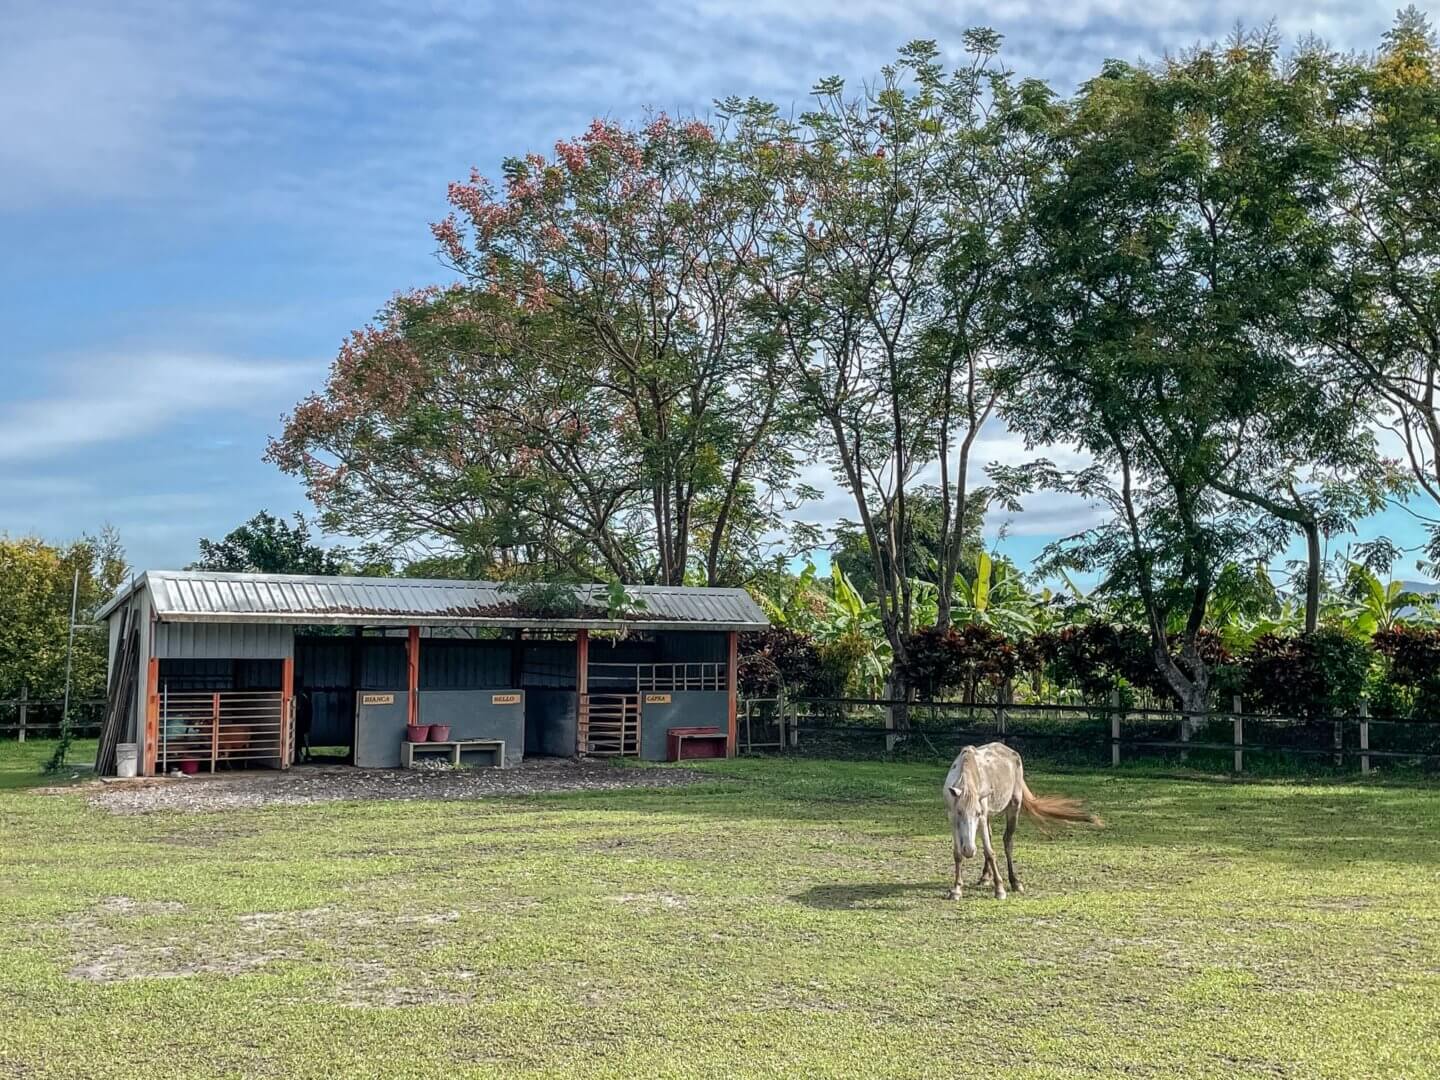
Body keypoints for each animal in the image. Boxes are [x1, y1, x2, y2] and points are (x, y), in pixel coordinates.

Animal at [944, 743, 1100, 898]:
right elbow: (957, 854)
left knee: (1008, 842)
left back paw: (1015, 882)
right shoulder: (953, 818)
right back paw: (985, 877)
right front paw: (956, 890)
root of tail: (1010, 750)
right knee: (990, 837)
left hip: (1014, 806)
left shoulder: (982, 817)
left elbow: (990, 852)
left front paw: (1000, 889)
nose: (969, 850)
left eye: (977, 813)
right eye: (959, 812)